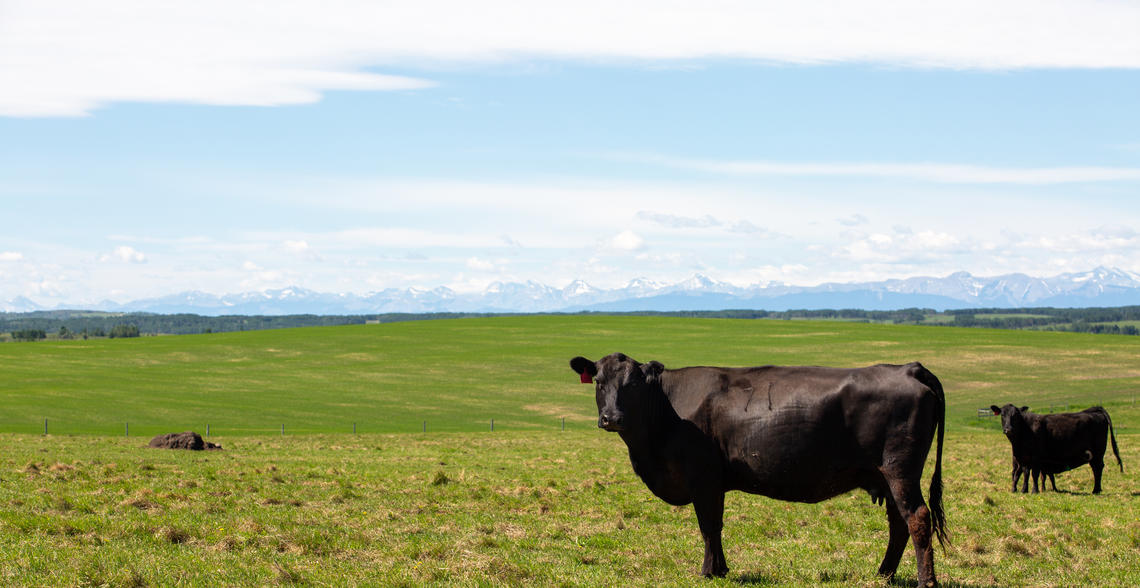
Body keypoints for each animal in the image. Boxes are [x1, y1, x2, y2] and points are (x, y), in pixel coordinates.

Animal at [574, 350, 948, 583]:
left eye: (633, 384)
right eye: (599, 382)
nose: (611, 418)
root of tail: (907, 367)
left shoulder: (703, 478)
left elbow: (708, 526)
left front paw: (708, 571)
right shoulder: (714, 483)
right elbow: (716, 527)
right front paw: (721, 569)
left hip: (899, 471)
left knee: (917, 518)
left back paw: (925, 581)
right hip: (886, 476)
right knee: (898, 524)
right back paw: (883, 574)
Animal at [989, 401, 1121, 494]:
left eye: (1015, 416)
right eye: (1002, 415)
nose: (1008, 429)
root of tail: (1094, 410)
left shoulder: (1036, 458)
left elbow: (1034, 474)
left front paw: (1034, 491)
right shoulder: (1023, 458)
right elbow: (1025, 473)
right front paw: (1023, 490)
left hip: (1098, 453)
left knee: (1097, 468)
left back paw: (1096, 490)